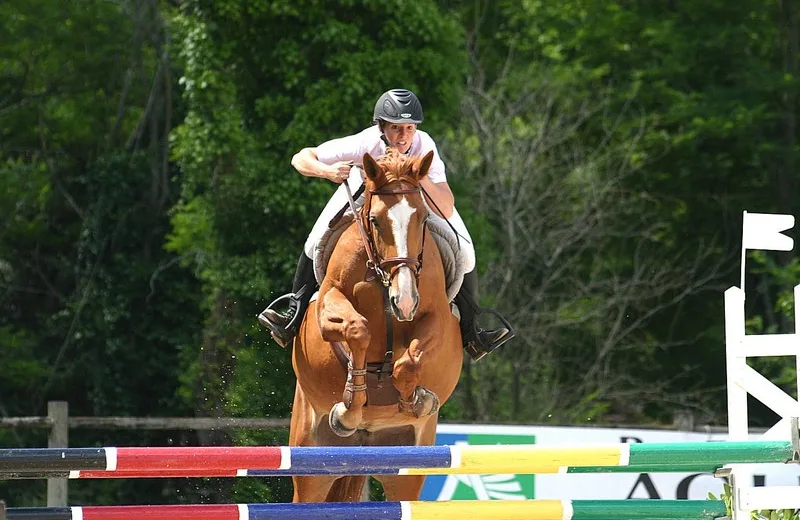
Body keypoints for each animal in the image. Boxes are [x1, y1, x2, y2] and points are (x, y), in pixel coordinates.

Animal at [288, 147, 462, 504]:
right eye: (375, 221)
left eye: (422, 219)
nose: (404, 300)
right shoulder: (328, 306)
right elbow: (358, 329)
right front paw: (349, 407)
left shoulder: (436, 317)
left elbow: (407, 363)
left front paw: (416, 400)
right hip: (311, 461)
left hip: (406, 470)